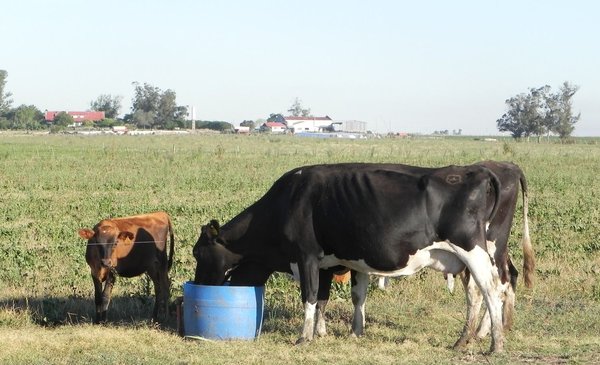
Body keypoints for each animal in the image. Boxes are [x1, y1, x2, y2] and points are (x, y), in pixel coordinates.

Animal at [195, 164, 516, 352]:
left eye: (198, 252)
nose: (199, 286)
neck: (286, 202)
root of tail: (477, 172)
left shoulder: (306, 256)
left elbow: (309, 296)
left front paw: (304, 337)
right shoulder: (331, 262)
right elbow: (337, 297)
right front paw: (340, 332)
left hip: (474, 250)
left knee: (492, 289)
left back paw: (496, 344)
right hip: (465, 259)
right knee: (476, 293)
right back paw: (463, 340)